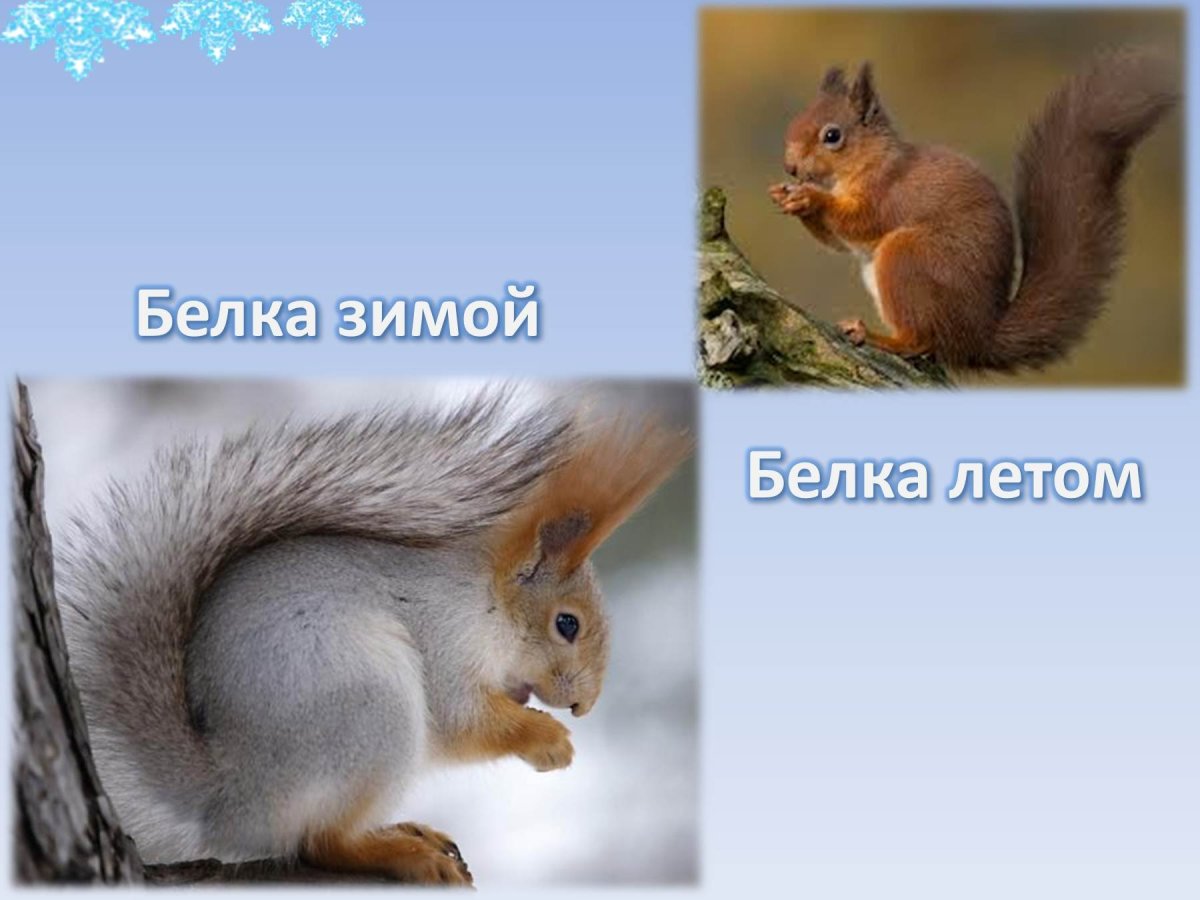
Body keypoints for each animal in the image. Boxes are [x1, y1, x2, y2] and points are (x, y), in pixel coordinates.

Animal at [56, 390, 690, 886]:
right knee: (319, 842)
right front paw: (547, 739)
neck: (486, 602)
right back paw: (400, 854)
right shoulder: (444, 636)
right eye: (567, 624)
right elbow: (460, 720)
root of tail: (230, 796)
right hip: (369, 709)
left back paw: (405, 831)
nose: (584, 706)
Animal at [768, 52, 1176, 370]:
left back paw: (878, 337)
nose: (790, 167)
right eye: (795, 122)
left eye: (832, 136)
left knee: (921, 339)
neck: (870, 161)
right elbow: (838, 242)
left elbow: (861, 222)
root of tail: (978, 336)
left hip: (908, 257)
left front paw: (811, 198)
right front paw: (786, 196)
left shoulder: (887, 193)